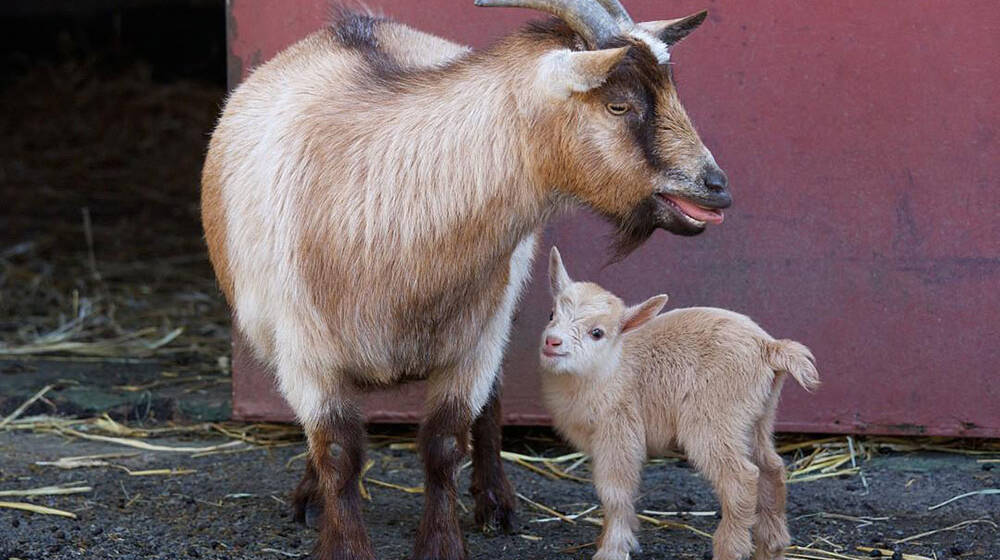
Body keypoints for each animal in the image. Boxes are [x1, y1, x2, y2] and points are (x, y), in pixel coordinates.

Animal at [544, 248, 816, 560]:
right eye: (551, 314)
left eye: (597, 332)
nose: (552, 342)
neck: (611, 365)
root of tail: (770, 348)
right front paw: (619, 539)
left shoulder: (618, 430)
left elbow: (615, 491)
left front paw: (611, 549)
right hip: (756, 418)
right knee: (771, 468)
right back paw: (771, 546)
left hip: (712, 419)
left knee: (742, 477)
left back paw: (729, 548)